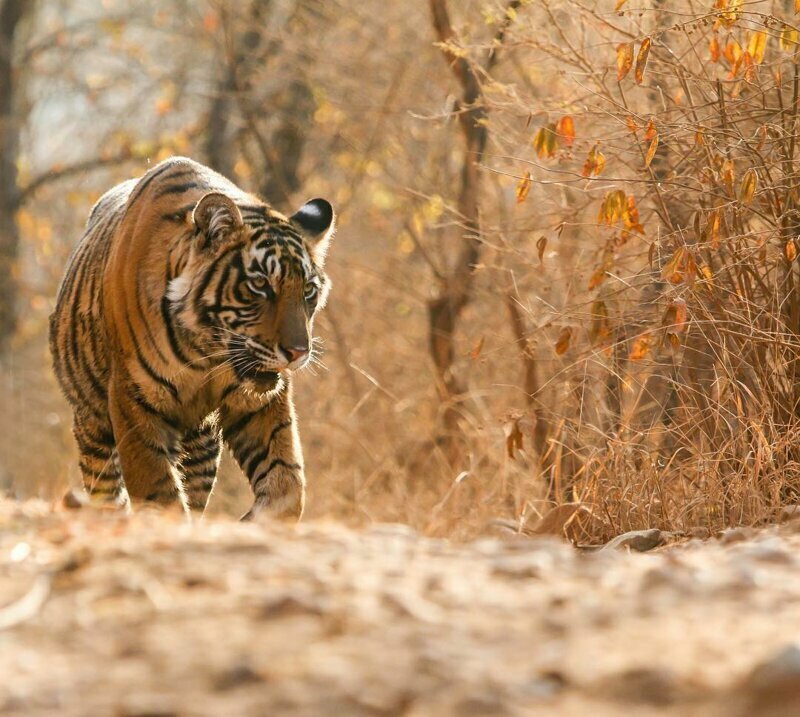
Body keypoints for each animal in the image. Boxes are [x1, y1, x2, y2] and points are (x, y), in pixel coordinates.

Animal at [49, 156, 335, 520]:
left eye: (308, 290)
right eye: (260, 284)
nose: (298, 352)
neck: (205, 354)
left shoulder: (261, 402)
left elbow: (287, 483)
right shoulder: (131, 399)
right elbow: (157, 488)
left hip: (201, 445)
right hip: (92, 422)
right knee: (105, 488)